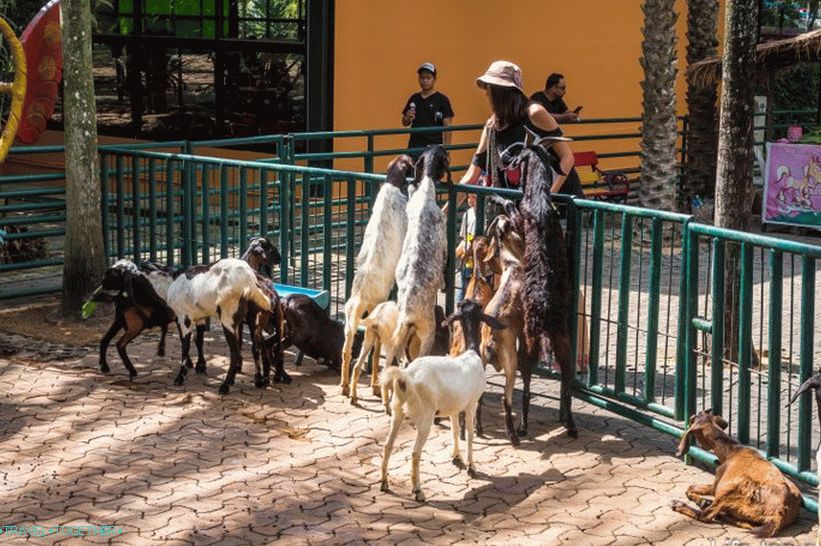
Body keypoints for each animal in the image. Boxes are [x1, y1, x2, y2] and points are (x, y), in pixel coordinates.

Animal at [167, 258, 276, 394]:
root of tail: (249, 279)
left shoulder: (184, 317)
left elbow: (185, 345)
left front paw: (180, 376)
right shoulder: (200, 317)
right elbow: (199, 339)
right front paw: (200, 366)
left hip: (227, 317)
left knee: (235, 352)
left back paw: (225, 385)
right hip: (254, 319)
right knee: (257, 347)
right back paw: (260, 381)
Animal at [380, 298, 506, 502]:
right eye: (478, 308)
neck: (471, 353)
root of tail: (406, 377)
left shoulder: (454, 408)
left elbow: (454, 431)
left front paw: (456, 457)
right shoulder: (471, 404)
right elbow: (469, 434)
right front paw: (471, 467)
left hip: (397, 413)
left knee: (387, 445)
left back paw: (384, 483)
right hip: (425, 417)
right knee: (415, 452)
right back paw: (418, 491)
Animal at [668, 408, 796, 536]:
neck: (731, 451)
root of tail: (779, 513)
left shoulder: (717, 485)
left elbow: (692, 488)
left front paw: (700, 501)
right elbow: (691, 487)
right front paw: (702, 501)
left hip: (732, 491)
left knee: (706, 515)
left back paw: (678, 504)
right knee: (743, 523)